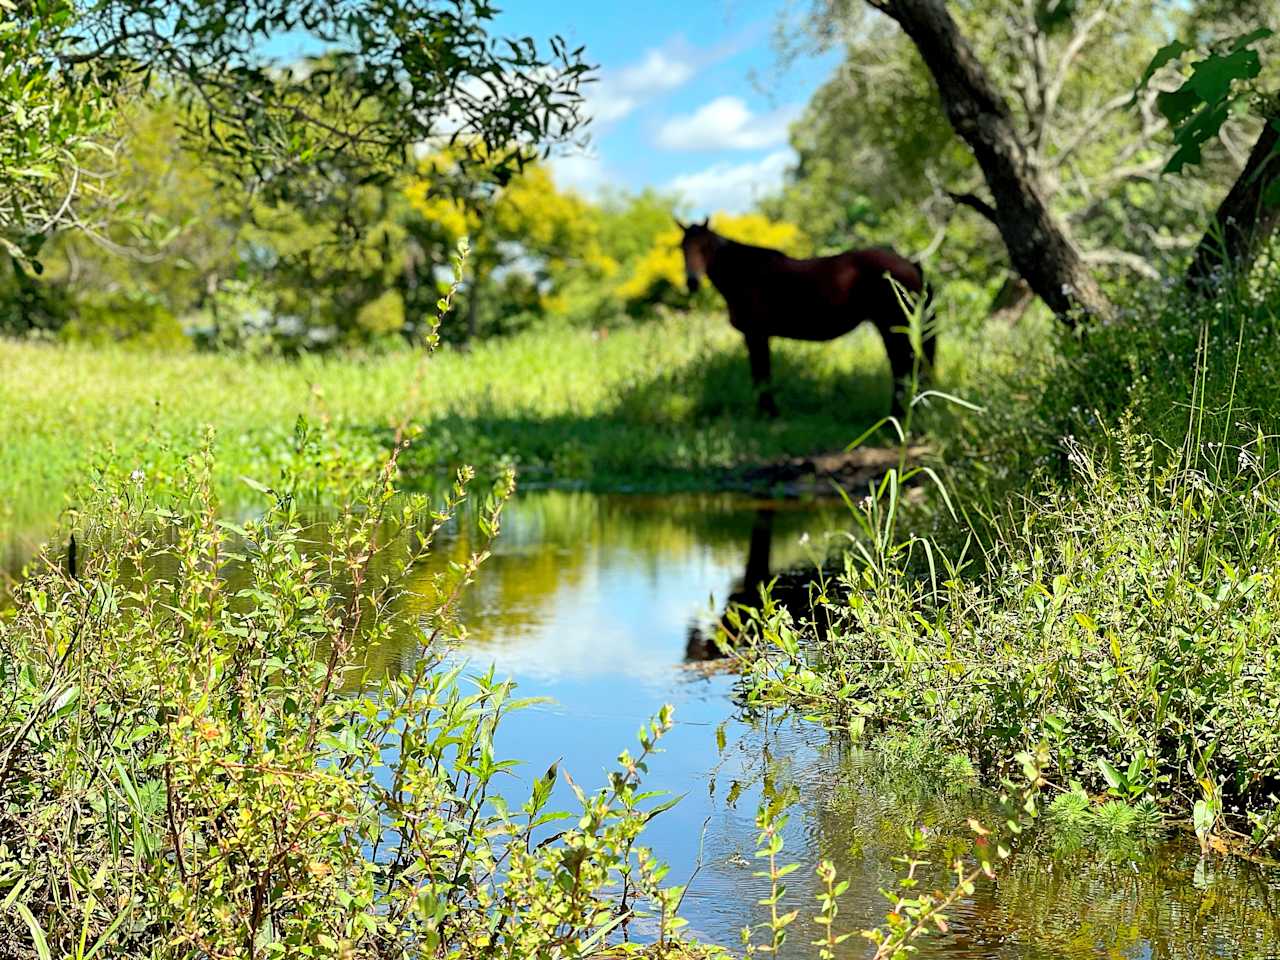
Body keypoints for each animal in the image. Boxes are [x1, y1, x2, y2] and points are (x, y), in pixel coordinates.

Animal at [675, 220, 936, 419]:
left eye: (705, 246)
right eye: (682, 247)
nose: (692, 281)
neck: (745, 274)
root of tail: (909, 262)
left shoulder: (756, 335)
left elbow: (761, 376)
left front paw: (768, 414)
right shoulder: (757, 336)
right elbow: (761, 374)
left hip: (892, 327)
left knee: (903, 366)